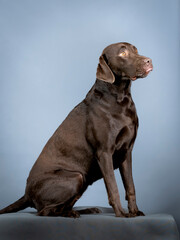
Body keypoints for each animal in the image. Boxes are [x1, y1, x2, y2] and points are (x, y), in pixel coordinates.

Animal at [0, 41, 153, 218]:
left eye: (136, 50)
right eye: (122, 54)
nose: (149, 61)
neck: (120, 98)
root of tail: (26, 194)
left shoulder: (126, 152)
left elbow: (130, 186)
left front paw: (134, 212)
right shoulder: (104, 152)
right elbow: (113, 187)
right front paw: (122, 214)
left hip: (83, 180)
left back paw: (85, 210)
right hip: (77, 177)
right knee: (44, 211)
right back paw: (71, 214)